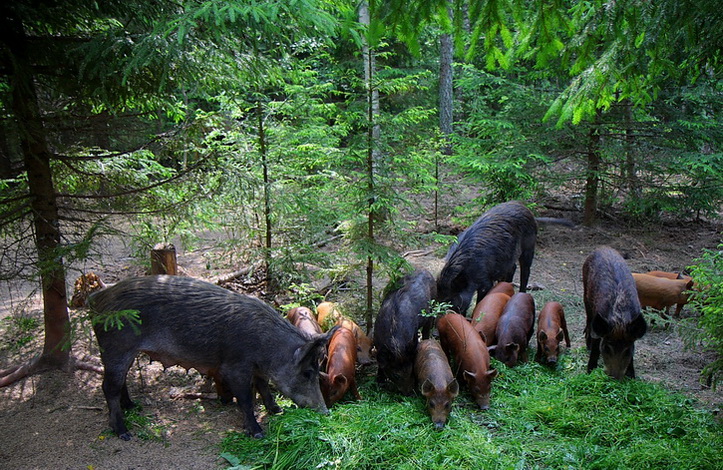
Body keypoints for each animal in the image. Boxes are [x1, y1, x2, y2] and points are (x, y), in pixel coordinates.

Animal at [88, 276, 334, 440]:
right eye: (307, 372)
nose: (325, 412)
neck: (267, 346)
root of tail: (97, 299)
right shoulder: (234, 367)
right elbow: (246, 399)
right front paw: (257, 433)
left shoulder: (257, 368)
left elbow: (264, 387)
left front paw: (277, 411)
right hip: (115, 348)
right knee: (108, 387)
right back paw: (124, 433)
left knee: (121, 382)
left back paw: (133, 406)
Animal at [584, 248, 648, 380]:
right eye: (607, 348)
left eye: (627, 350)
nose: (615, 377)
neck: (619, 319)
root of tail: (603, 248)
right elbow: (596, 345)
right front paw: (589, 371)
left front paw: (632, 376)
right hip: (585, 294)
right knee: (588, 320)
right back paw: (587, 345)